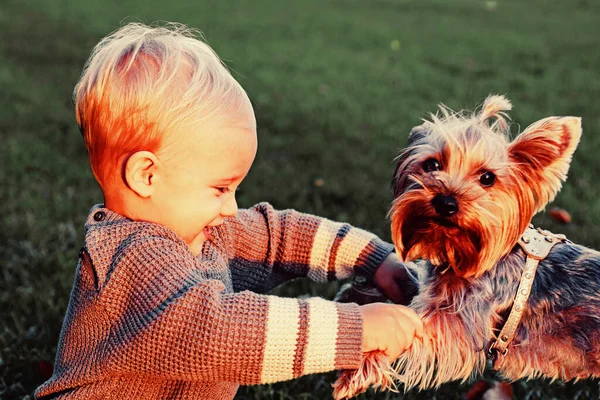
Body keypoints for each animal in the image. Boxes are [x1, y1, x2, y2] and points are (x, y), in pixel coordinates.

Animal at [332, 95, 600, 398]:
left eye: (487, 178)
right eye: (432, 165)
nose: (446, 202)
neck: (459, 251)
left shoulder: (460, 323)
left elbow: (415, 324)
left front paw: (358, 369)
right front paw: (357, 294)